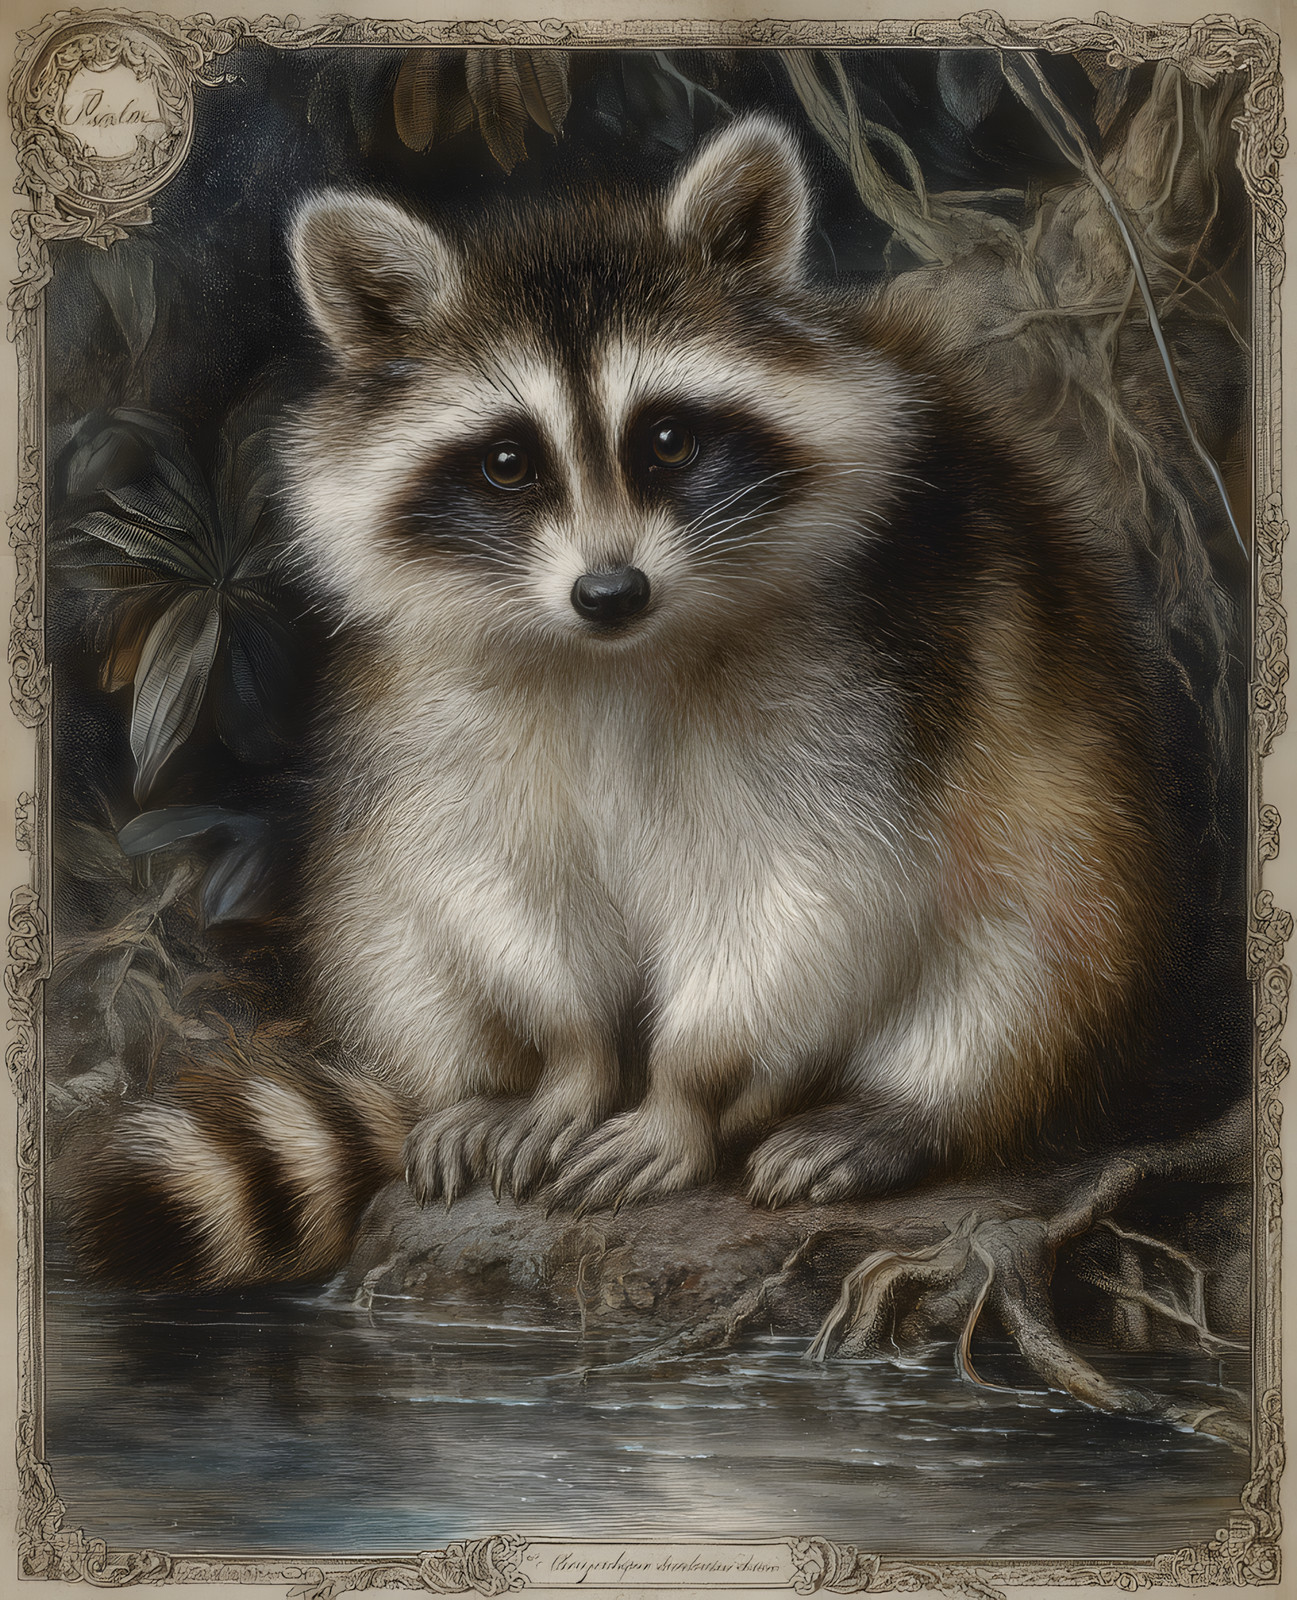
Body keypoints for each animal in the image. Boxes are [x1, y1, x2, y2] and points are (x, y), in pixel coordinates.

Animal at [72, 114, 1213, 1291]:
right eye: (507, 461)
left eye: (667, 439)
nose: (609, 590)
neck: (614, 654)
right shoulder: (439, 693)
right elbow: (496, 873)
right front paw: (568, 1065)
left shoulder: (867, 664)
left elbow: (811, 887)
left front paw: (681, 1093)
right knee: (391, 914)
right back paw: (467, 1088)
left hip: (1075, 847)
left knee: (1039, 930)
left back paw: (905, 1105)